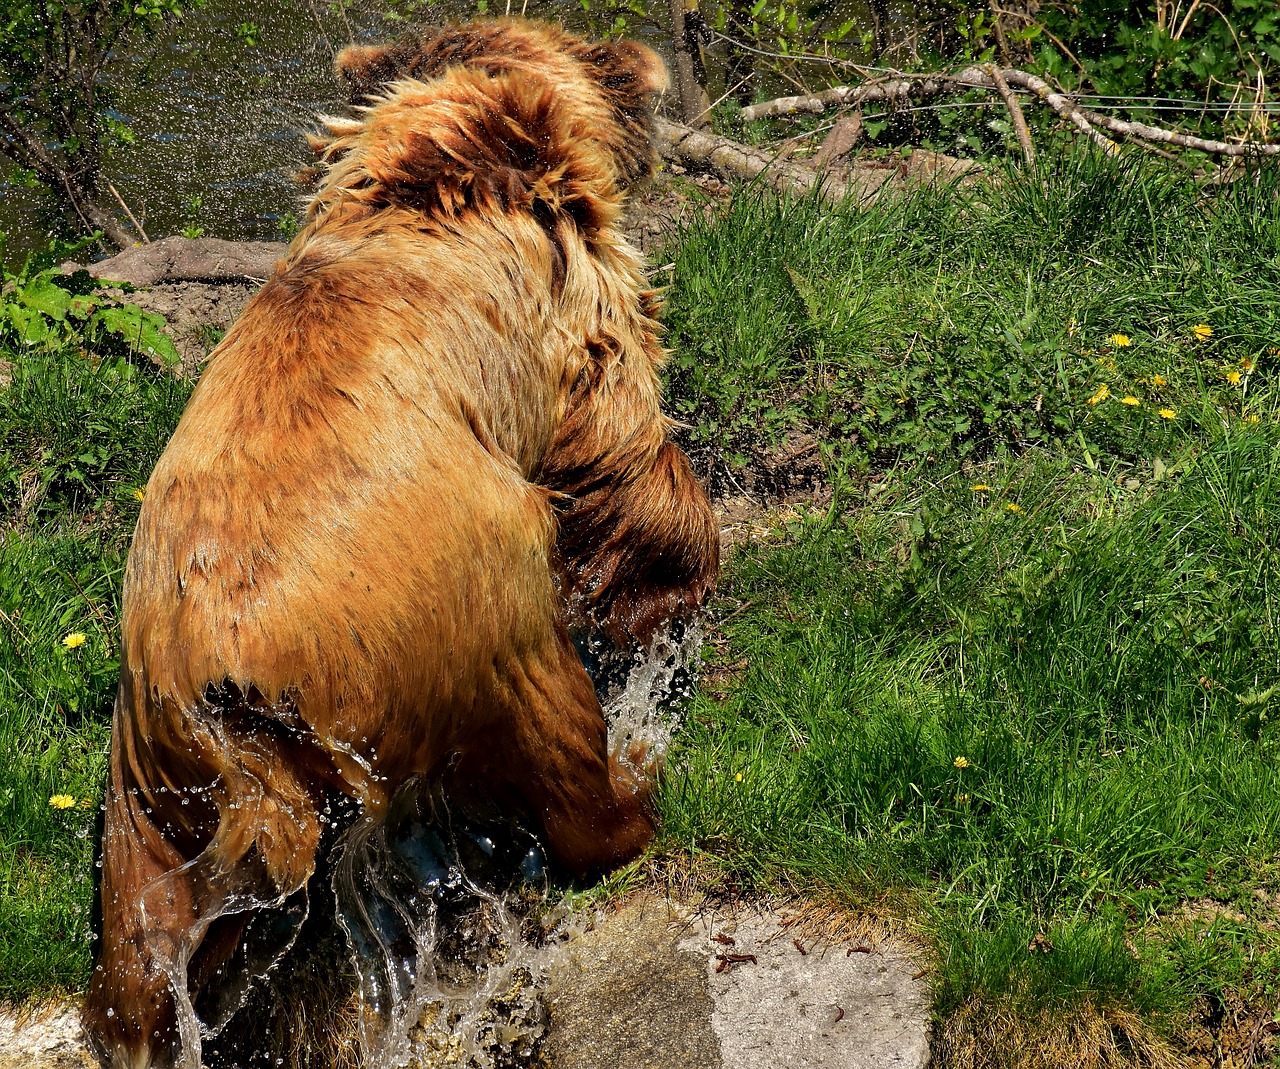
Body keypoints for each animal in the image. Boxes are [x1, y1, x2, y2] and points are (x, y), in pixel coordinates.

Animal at [80, 20, 721, 1069]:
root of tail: (226, 671)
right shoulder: (568, 316)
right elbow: (620, 438)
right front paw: (672, 587)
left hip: (153, 772)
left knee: (143, 929)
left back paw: (158, 1014)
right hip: (464, 600)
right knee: (548, 719)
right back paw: (630, 789)